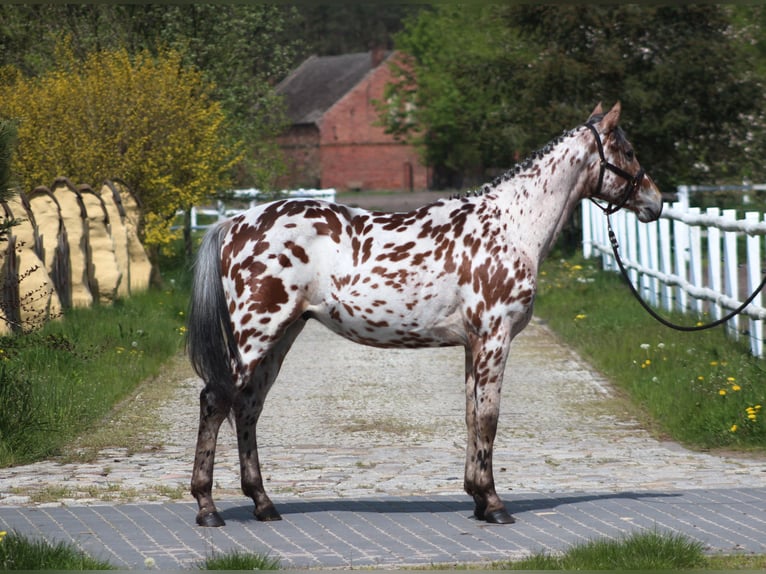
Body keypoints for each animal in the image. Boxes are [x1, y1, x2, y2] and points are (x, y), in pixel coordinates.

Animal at [188, 102, 664, 528]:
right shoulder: (495, 338)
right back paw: (207, 508)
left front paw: (477, 497)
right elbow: (489, 418)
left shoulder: (474, 344)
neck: (511, 225)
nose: (655, 202)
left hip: (281, 336)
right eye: (627, 150)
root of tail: (234, 223)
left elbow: (472, 415)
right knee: (216, 401)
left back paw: (263, 503)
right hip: (256, 332)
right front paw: (494, 504)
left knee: (247, 406)